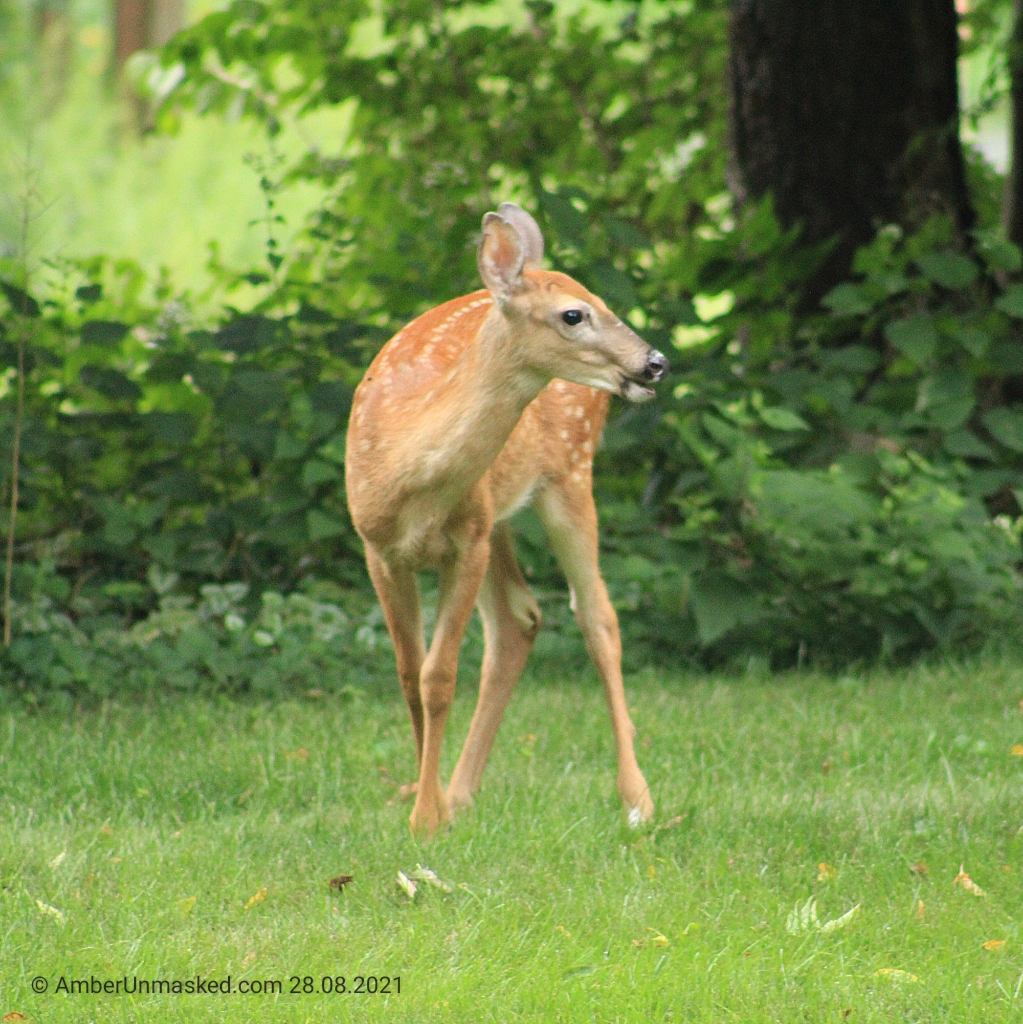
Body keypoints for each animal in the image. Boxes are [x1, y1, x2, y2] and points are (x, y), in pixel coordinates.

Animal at [345, 203, 669, 836]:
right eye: (573, 313)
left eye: (601, 300)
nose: (655, 363)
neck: (409, 476)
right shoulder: (378, 549)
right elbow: (409, 674)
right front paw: (429, 801)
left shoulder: (466, 543)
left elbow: (439, 677)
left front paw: (427, 817)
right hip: (500, 513)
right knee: (521, 617)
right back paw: (461, 791)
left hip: (568, 472)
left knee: (598, 617)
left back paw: (637, 798)